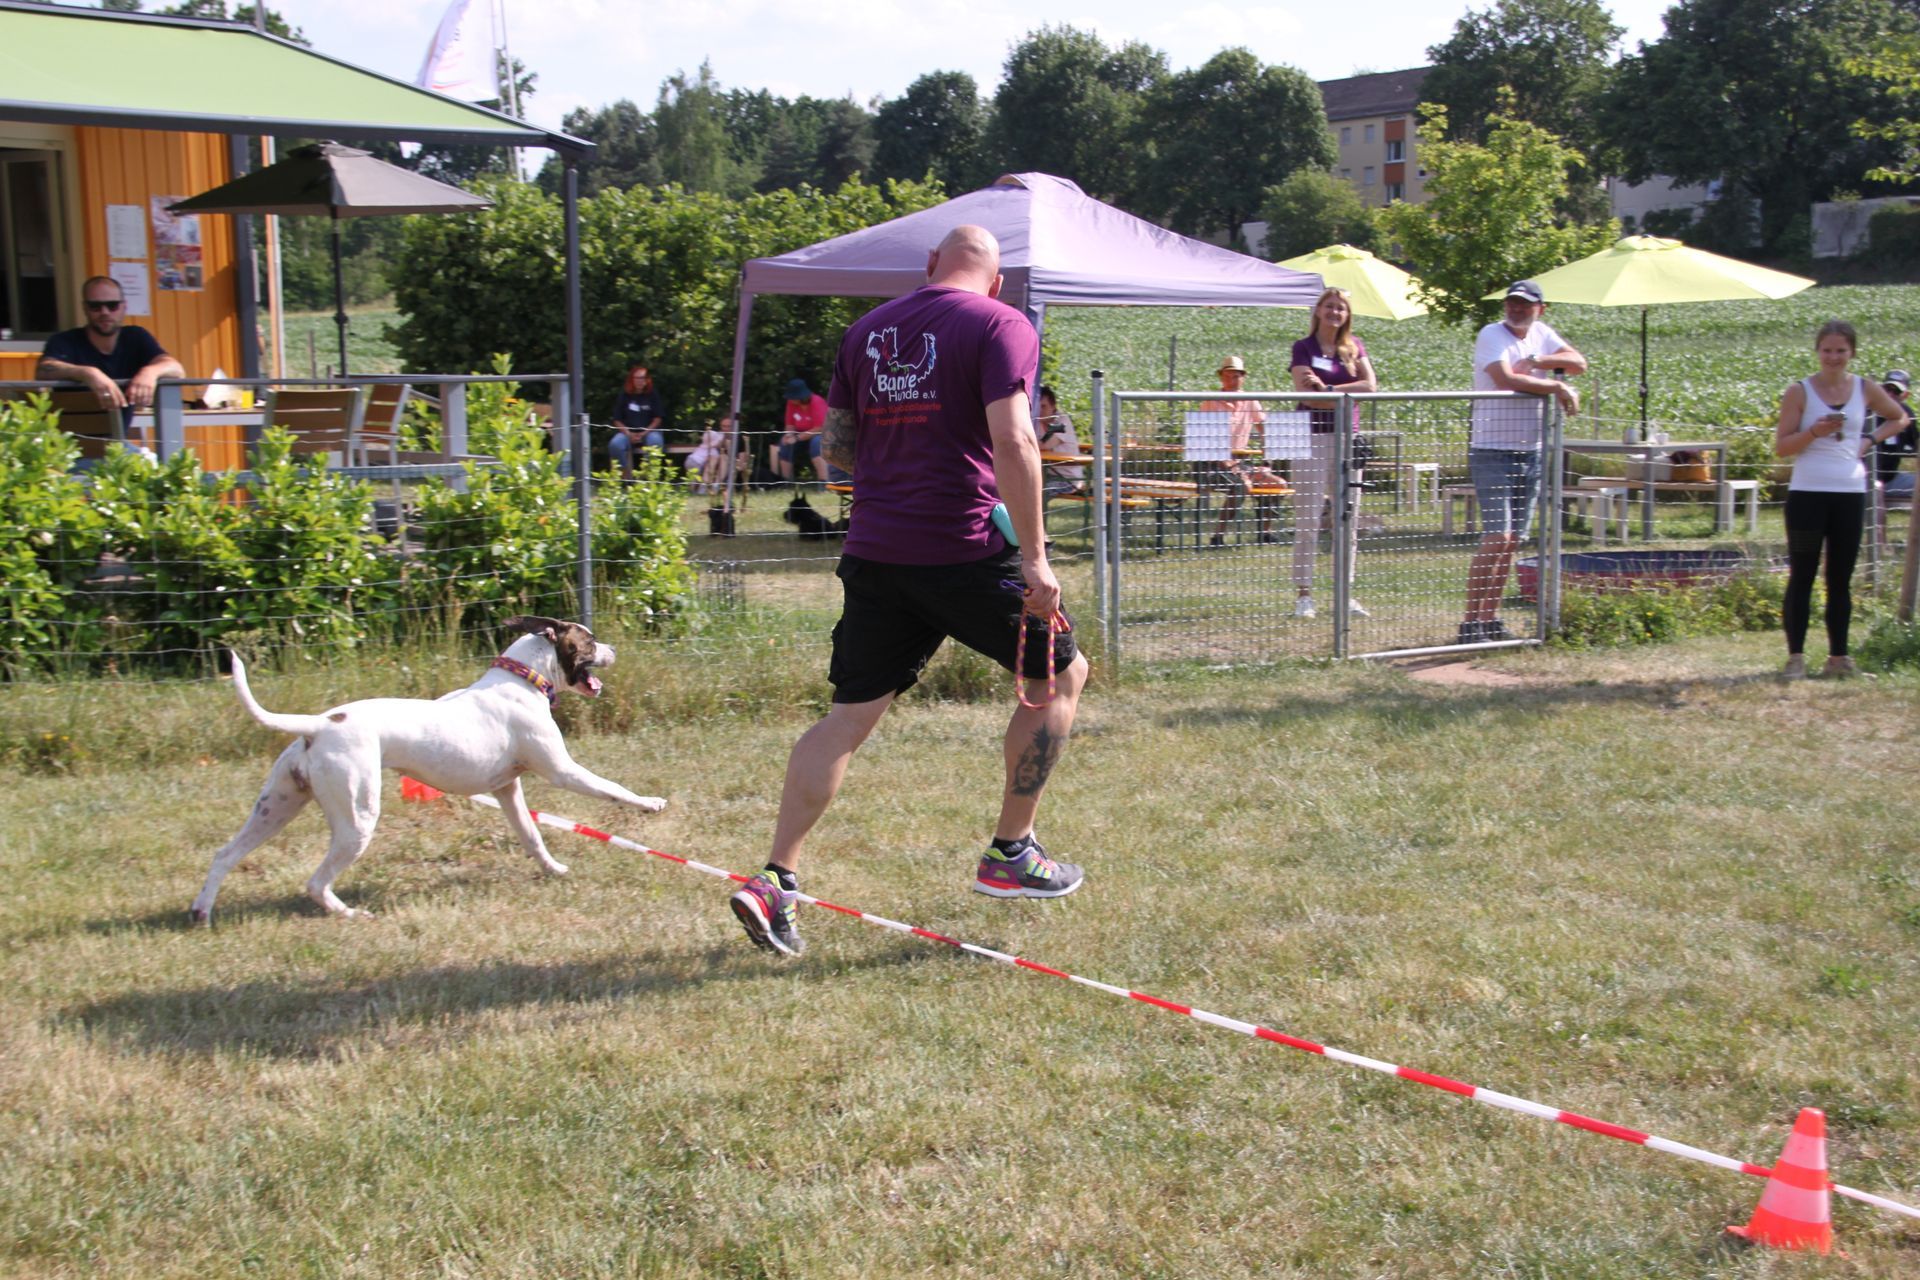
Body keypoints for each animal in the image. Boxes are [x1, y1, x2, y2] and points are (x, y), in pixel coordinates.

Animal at [189, 616, 665, 925]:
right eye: (589, 641)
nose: (615, 649)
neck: (523, 678)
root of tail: (319, 726)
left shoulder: (508, 790)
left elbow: (531, 836)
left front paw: (555, 871)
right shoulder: (562, 771)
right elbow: (611, 788)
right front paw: (649, 803)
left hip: (277, 806)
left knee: (225, 854)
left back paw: (202, 911)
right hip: (356, 818)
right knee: (316, 882)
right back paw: (351, 914)